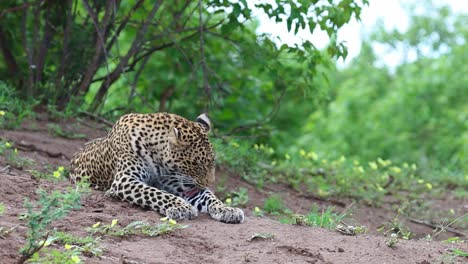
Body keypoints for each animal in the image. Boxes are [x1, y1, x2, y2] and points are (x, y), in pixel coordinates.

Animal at [70, 112, 245, 224]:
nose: (210, 183)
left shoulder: (182, 186)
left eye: (212, 162)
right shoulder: (124, 180)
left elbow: (210, 197)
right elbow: (156, 193)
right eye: (197, 164)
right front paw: (181, 207)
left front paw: (228, 210)